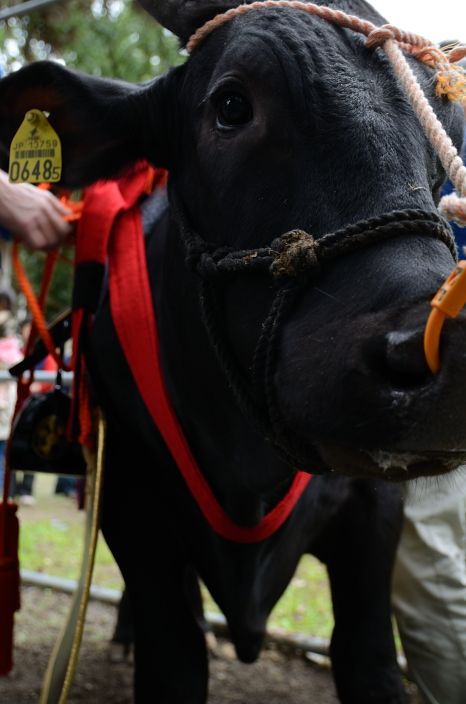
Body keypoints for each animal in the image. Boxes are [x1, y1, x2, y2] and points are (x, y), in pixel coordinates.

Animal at [0, 1, 466, 704]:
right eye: (231, 104)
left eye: (446, 138)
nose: (439, 342)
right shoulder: (129, 489)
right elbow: (175, 656)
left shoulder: (374, 509)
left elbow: (369, 659)